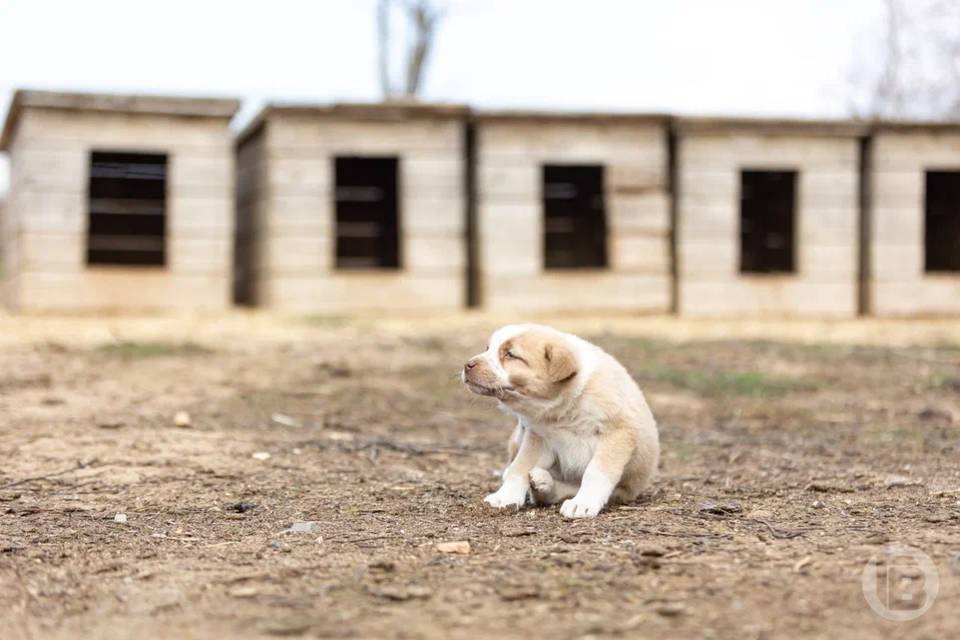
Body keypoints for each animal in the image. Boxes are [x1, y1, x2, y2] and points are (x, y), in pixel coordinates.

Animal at [460, 324, 656, 520]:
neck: (564, 408)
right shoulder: (538, 437)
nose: (467, 364)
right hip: (518, 435)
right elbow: (520, 466)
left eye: (510, 354)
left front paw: (583, 503)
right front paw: (504, 497)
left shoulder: (617, 433)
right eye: (487, 348)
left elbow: (595, 472)